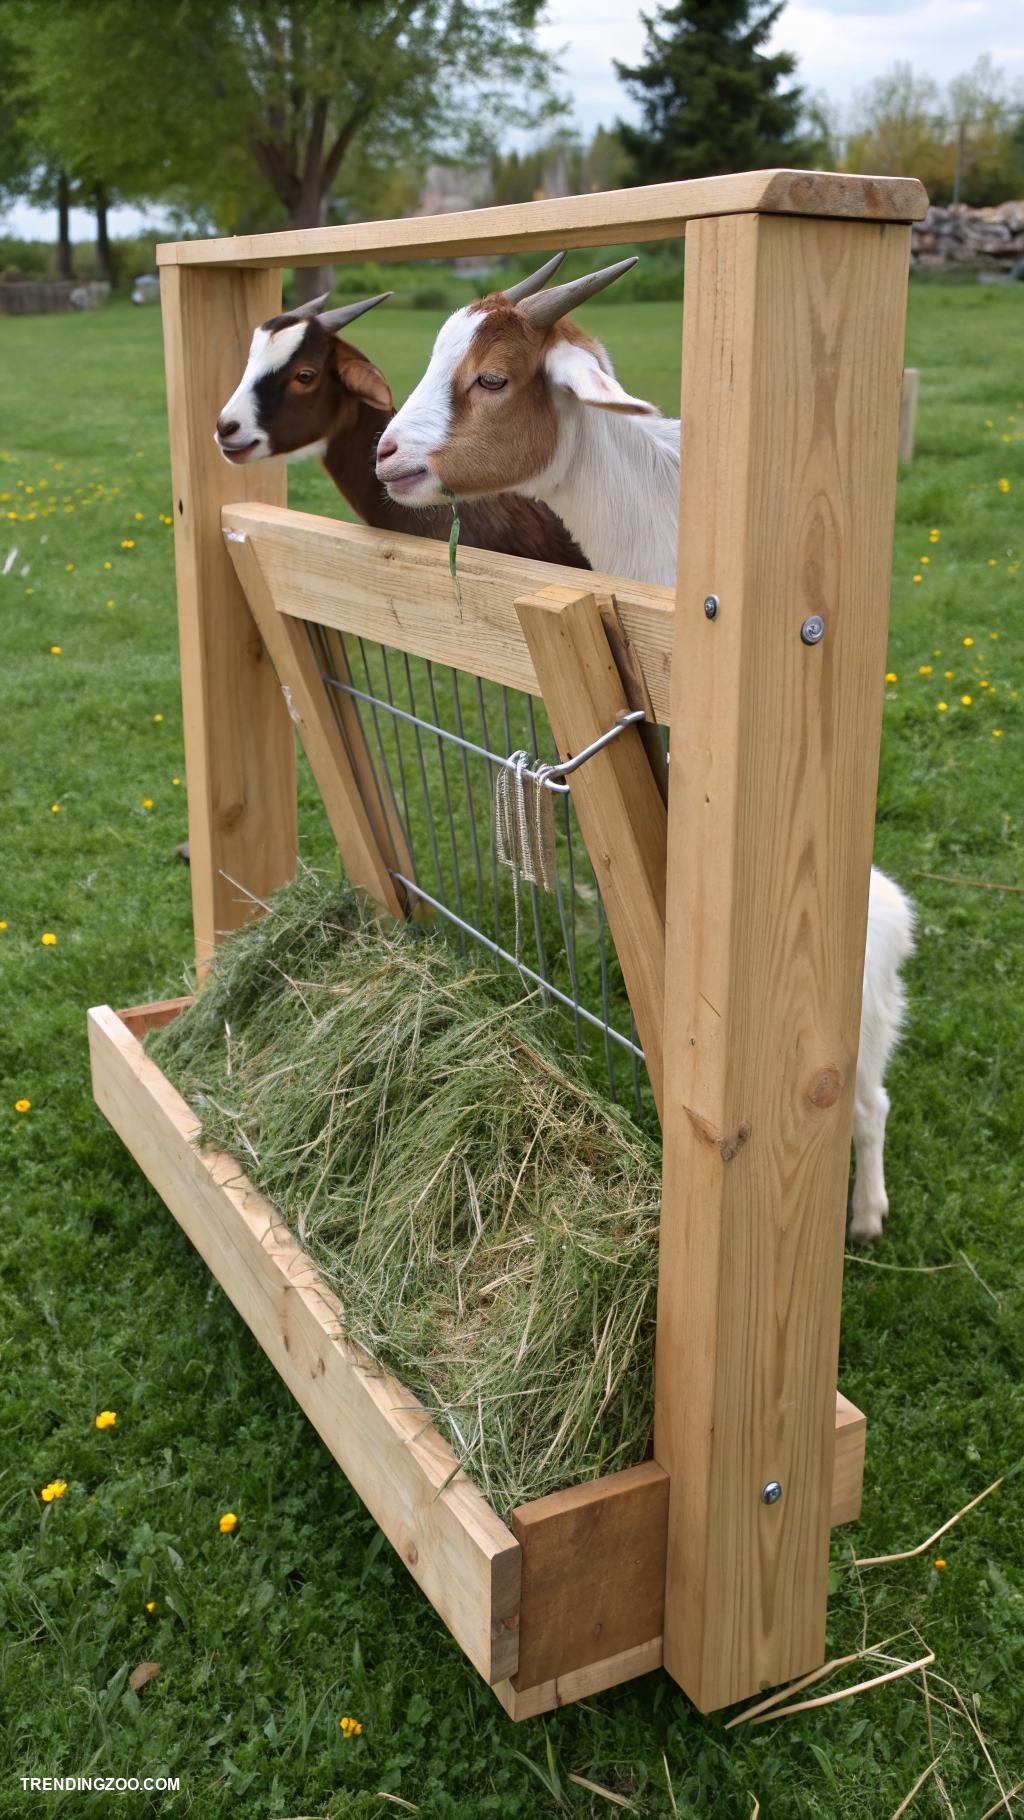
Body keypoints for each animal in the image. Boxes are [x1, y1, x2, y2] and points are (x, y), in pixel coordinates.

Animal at [379, 258, 916, 1242]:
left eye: (493, 377)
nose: (387, 456)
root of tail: (897, 920)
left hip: (863, 1024)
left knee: (868, 1103)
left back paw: (864, 1217)